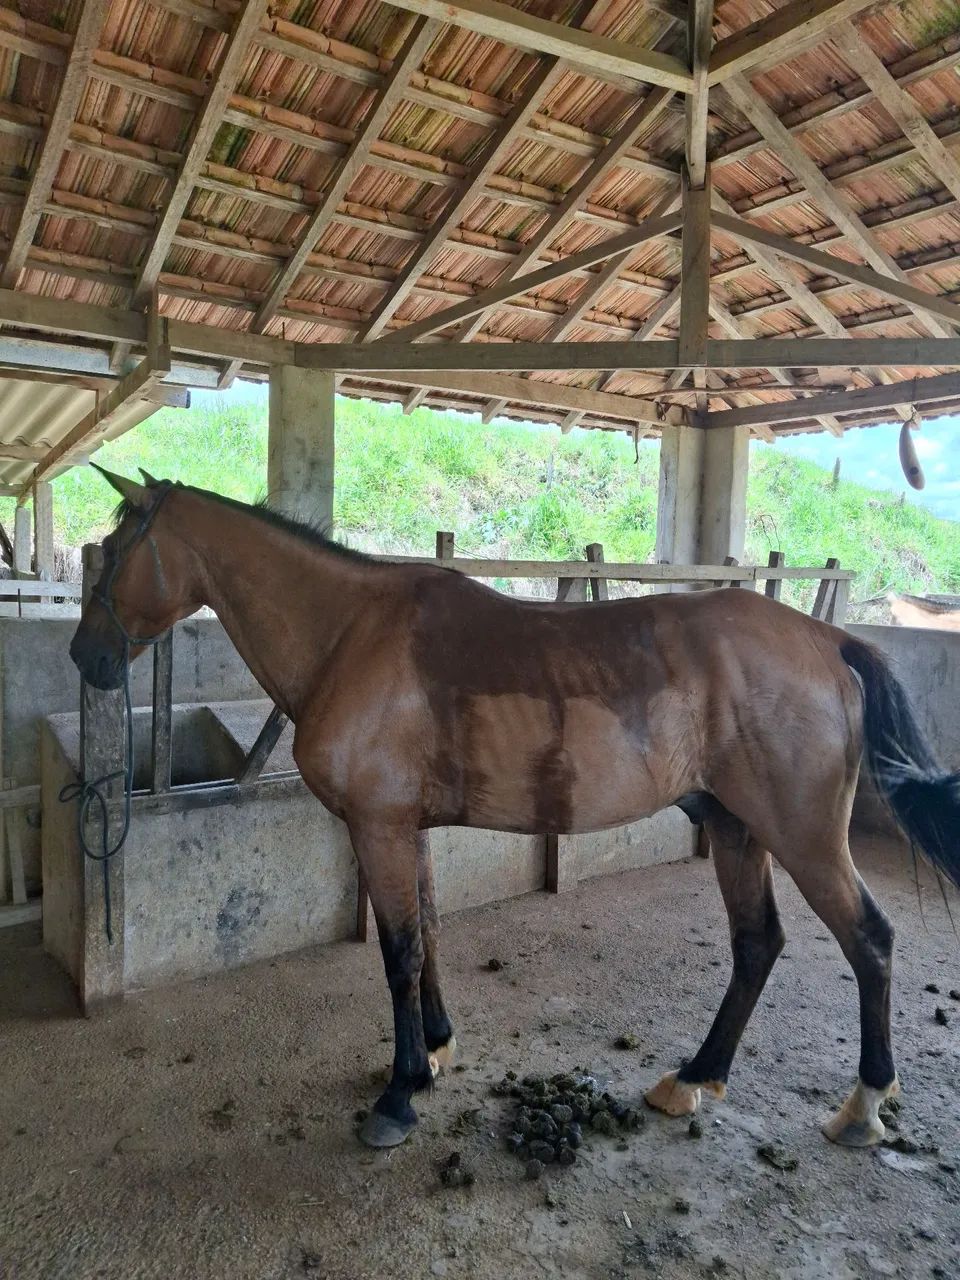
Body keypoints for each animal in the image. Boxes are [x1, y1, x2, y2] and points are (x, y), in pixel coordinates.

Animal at [69, 468, 960, 1150]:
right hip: (737, 827)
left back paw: (862, 1105)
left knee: (869, 941)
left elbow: (398, 953)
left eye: (112, 552)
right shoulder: (405, 830)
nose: (86, 657)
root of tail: (829, 641)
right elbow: (426, 933)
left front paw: (397, 1095)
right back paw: (696, 1077)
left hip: (801, 836)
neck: (352, 633)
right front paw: (433, 1051)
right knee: (757, 944)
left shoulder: (378, 828)